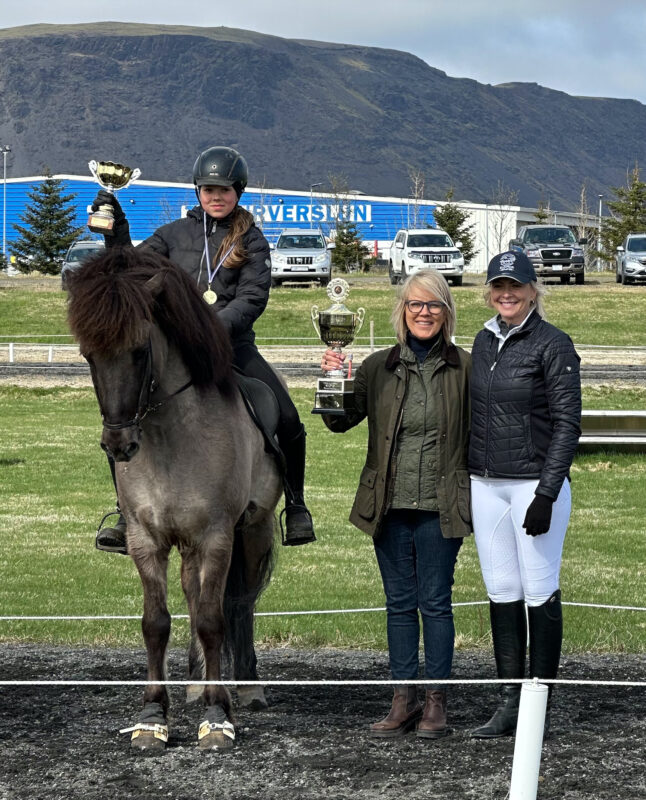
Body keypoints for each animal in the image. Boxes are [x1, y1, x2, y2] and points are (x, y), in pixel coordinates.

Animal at [67, 246, 283, 751]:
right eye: (88, 354)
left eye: (140, 351)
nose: (118, 444)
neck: (172, 438)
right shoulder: (148, 539)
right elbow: (156, 622)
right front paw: (152, 717)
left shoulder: (217, 538)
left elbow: (213, 619)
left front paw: (217, 717)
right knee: (193, 595)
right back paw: (196, 683)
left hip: (254, 530)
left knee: (239, 605)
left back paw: (247, 688)